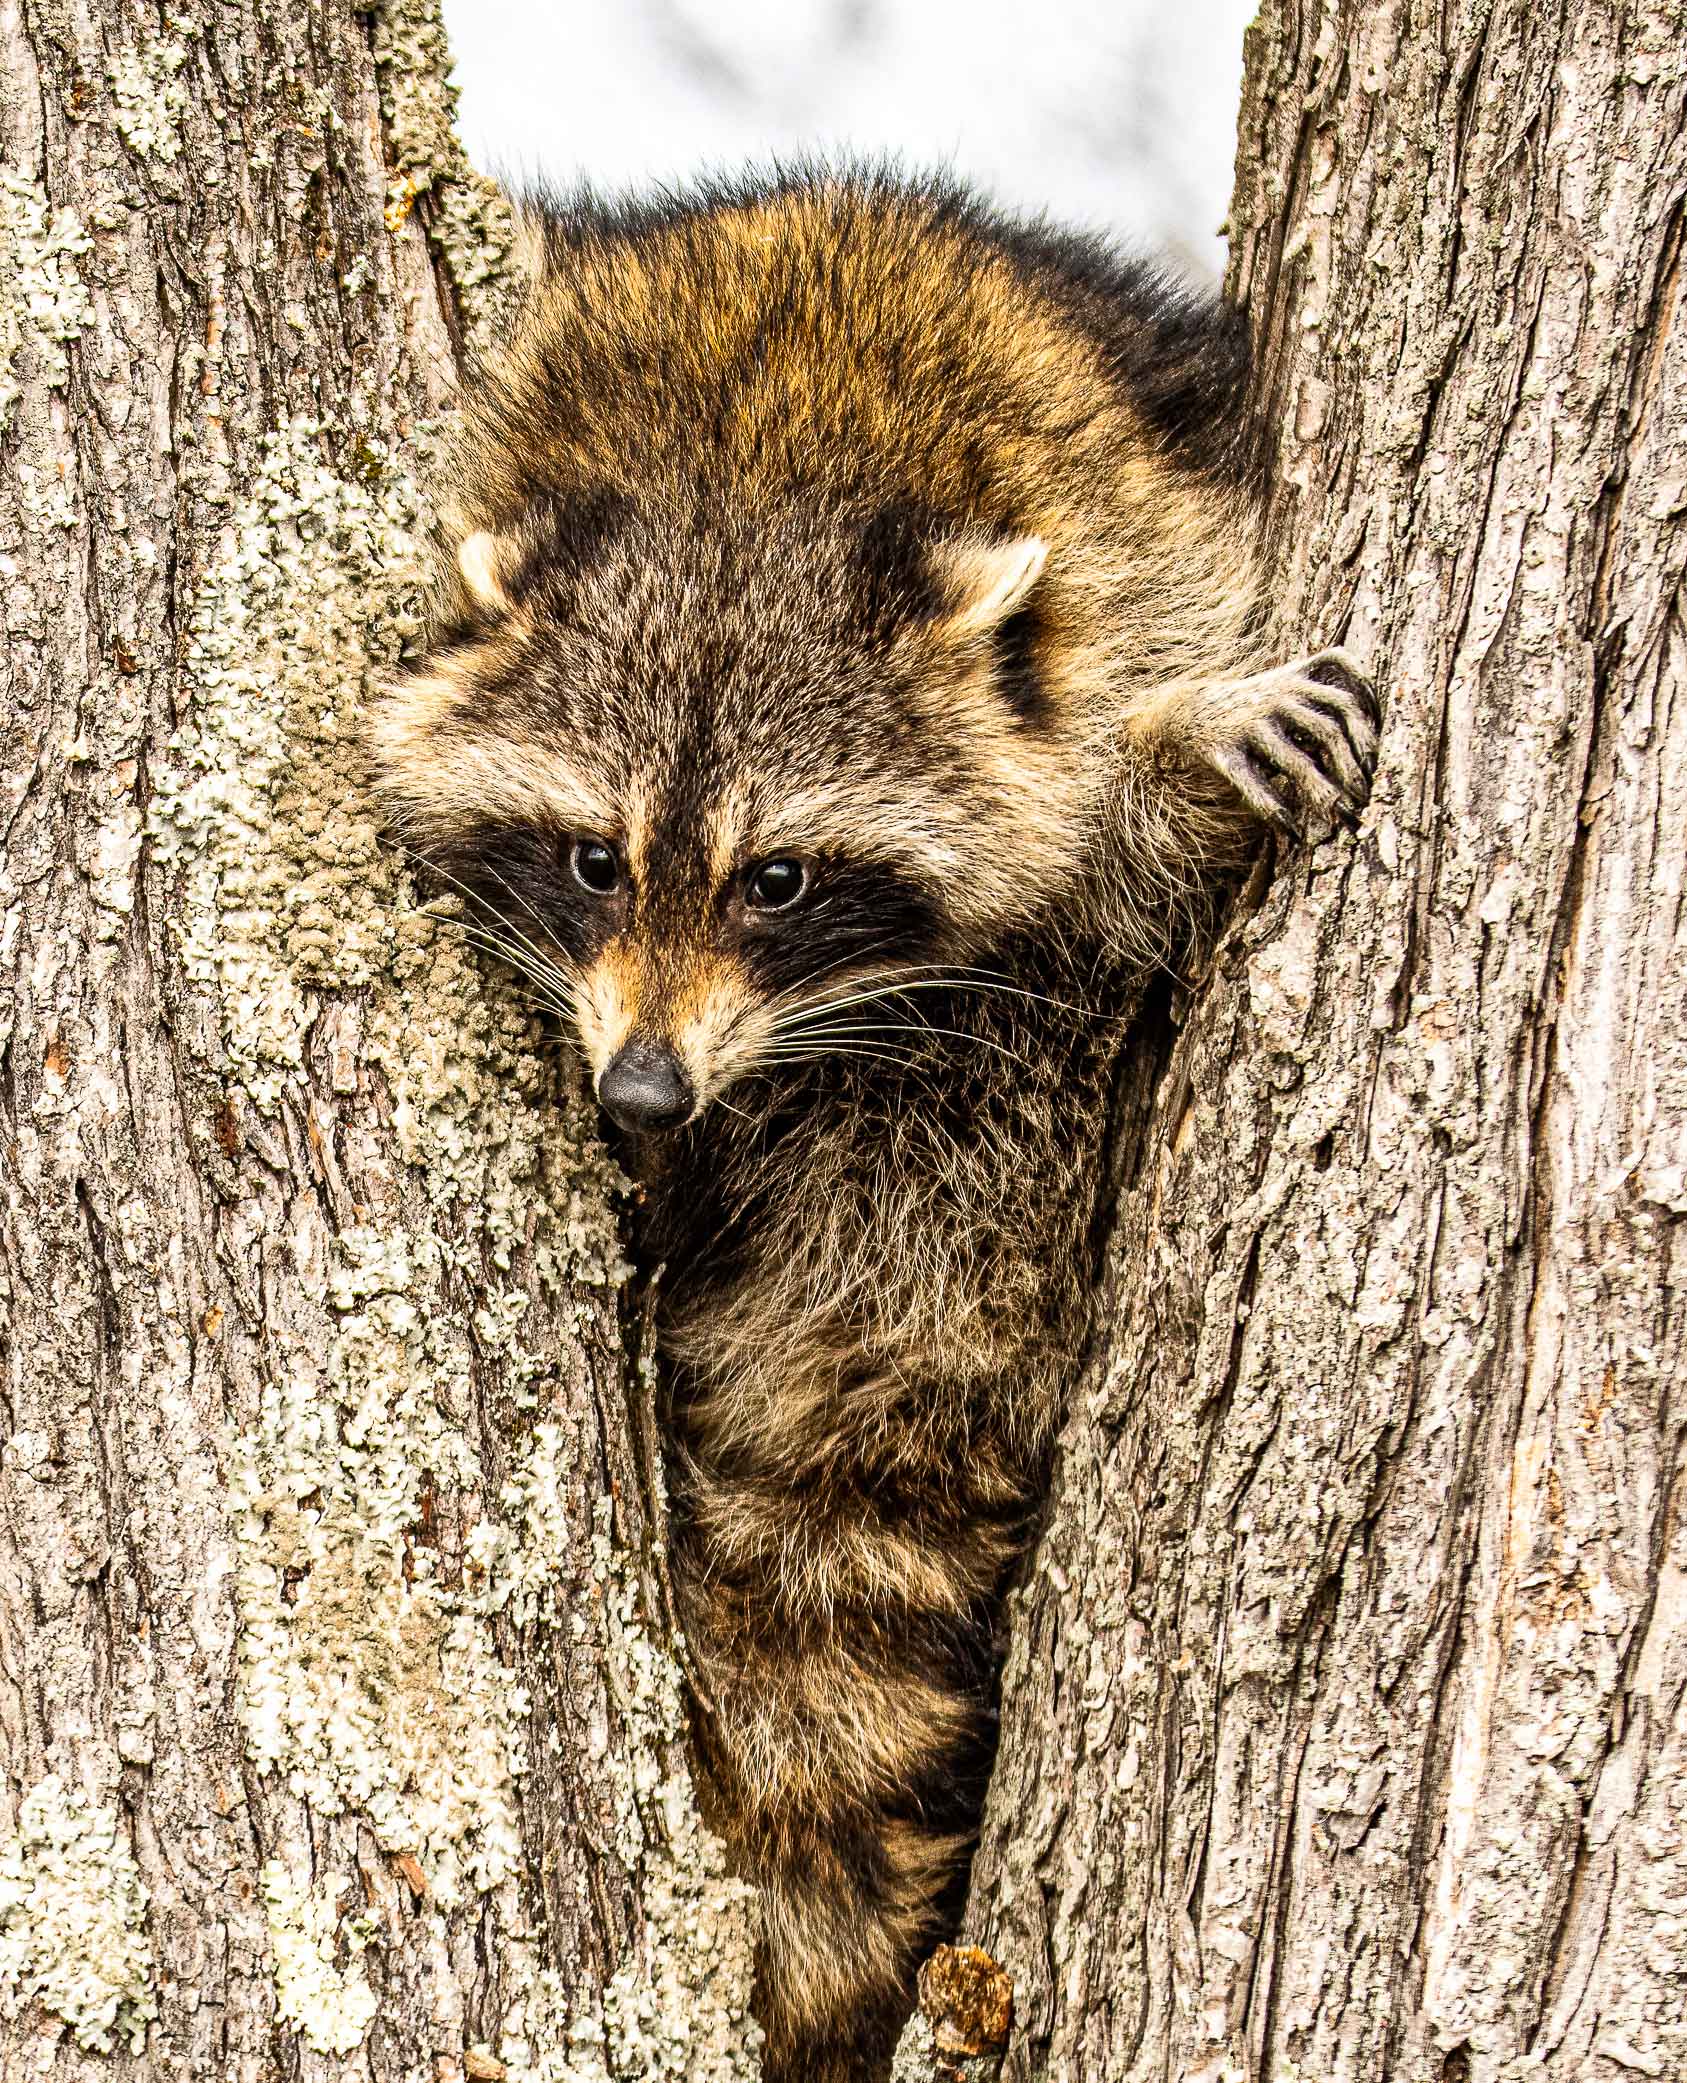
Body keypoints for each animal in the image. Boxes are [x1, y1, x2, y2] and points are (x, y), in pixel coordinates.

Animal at [364, 170, 1366, 2074]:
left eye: (778, 879)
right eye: (591, 857)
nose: (644, 1091)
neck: (754, 452)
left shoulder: (1138, 529)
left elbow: (1101, 819)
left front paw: (1163, 747)